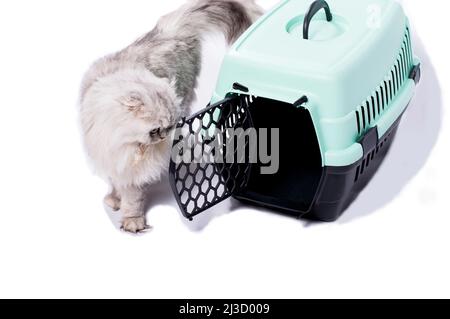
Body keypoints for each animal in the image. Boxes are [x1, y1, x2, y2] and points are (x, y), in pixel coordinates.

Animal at [78, 0, 262, 235]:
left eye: (169, 126)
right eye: (155, 130)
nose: (165, 136)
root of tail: (171, 29)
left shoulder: (133, 171)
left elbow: (132, 198)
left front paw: (132, 221)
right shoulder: (109, 156)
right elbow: (116, 183)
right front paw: (115, 199)